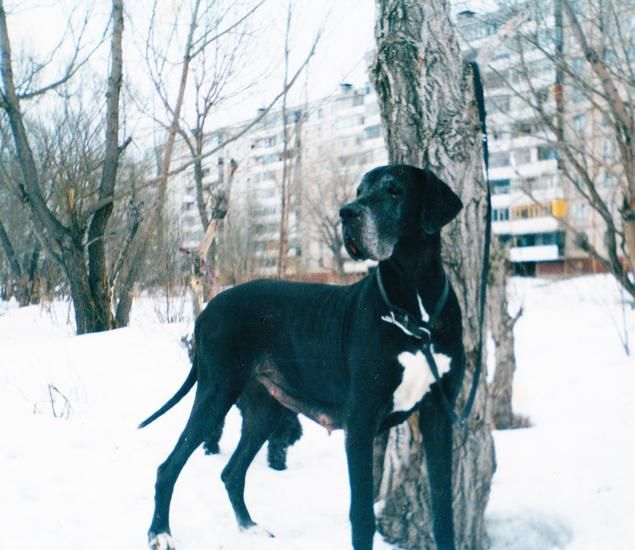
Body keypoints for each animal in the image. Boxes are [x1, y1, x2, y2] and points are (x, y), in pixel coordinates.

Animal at [140, 164, 466, 550]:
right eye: (360, 190)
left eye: (394, 191)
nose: (347, 212)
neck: (415, 309)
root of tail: (207, 310)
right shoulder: (361, 421)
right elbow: (362, 517)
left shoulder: (438, 416)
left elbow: (443, 509)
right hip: (215, 393)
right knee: (168, 467)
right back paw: (160, 532)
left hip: (264, 411)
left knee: (231, 471)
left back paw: (250, 527)